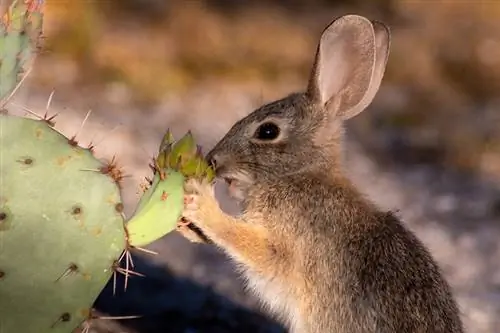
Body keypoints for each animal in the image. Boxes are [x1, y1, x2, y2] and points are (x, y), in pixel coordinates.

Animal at [180, 14, 464, 332]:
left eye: (268, 131)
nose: (213, 160)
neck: (301, 173)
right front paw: (187, 226)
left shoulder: (288, 246)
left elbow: (246, 242)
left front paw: (201, 205)